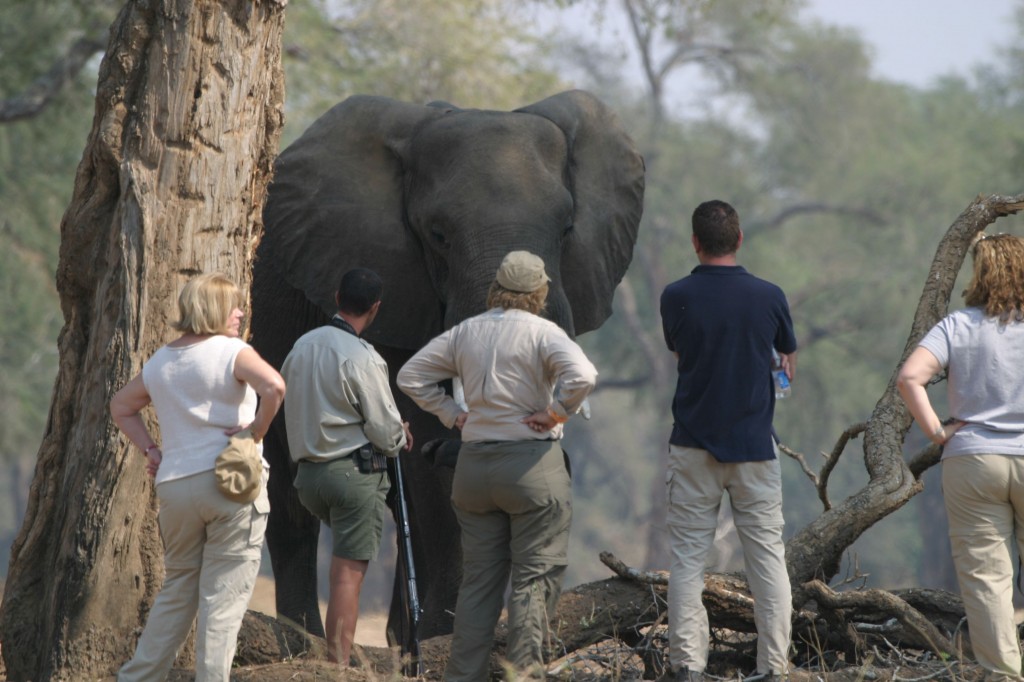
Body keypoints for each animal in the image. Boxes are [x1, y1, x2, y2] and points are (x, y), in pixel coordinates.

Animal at [248, 89, 643, 647]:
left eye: (567, 229)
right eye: (438, 235)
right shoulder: (395, 298)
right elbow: (423, 450)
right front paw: (443, 639)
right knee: (290, 501)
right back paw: (306, 642)